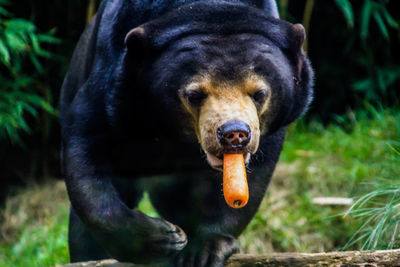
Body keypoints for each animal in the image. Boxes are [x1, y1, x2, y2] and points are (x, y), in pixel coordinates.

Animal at [61, 1, 314, 266]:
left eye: (259, 93)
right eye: (194, 95)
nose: (235, 134)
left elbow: (248, 184)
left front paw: (204, 250)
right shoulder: (112, 87)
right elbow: (86, 155)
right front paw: (164, 237)